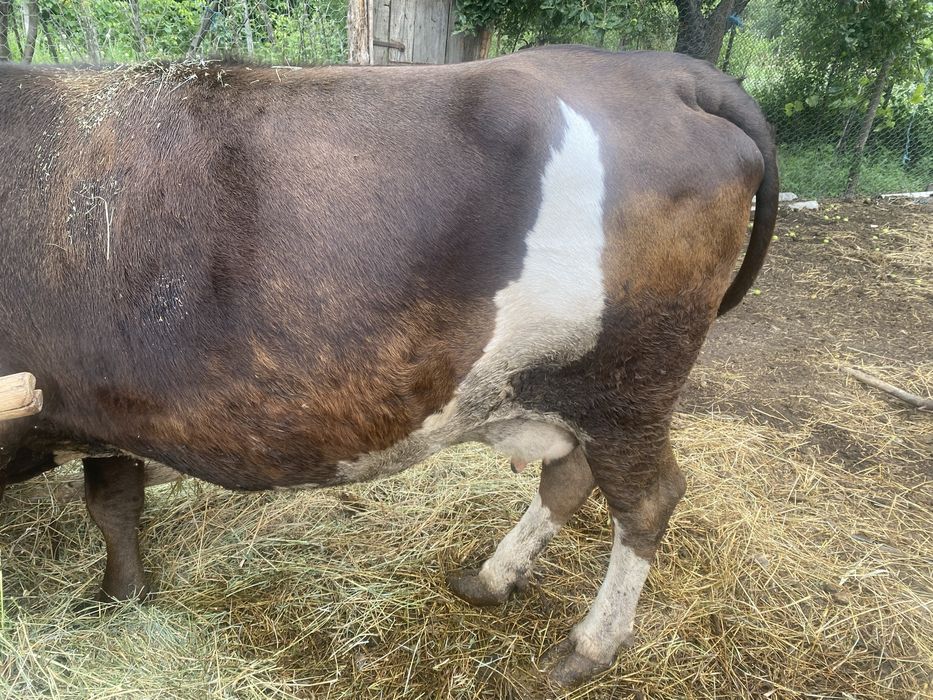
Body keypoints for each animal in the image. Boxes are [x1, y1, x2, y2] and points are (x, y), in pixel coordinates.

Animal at [0, 45, 777, 686]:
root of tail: (660, 70)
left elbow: (109, 506)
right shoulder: (105, 413)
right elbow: (115, 504)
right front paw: (121, 596)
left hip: (628, 382)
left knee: (646, 501)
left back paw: (590, 645)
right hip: (572, 389)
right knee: (570, 477)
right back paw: (492, 578)